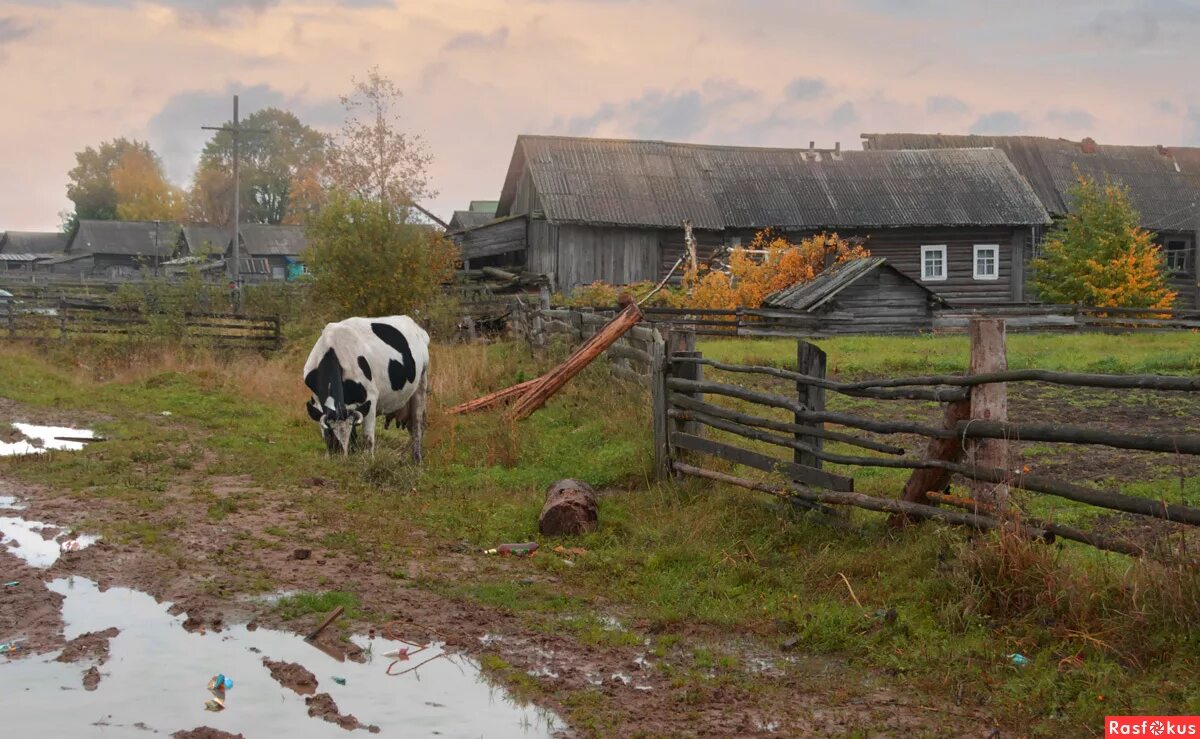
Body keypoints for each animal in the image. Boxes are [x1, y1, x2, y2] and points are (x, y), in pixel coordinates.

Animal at [304, 314, 432, 458]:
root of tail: (417, 326)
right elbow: (328, 437)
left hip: (421, 384)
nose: (343, 457)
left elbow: (368, 440)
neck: (332, 348)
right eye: (332, 431)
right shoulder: (319, 402)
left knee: (417, 426)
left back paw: (417, 459)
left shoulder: (370, 399)